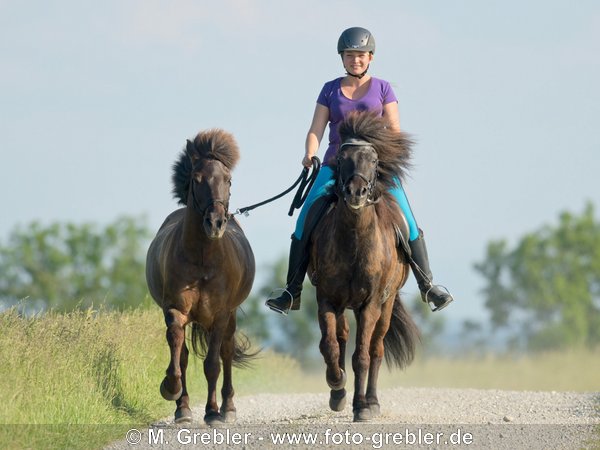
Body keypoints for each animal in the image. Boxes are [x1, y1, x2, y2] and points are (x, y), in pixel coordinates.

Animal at [148, 129, 258, 426]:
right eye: (197, 179)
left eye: (228, 180)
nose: (215, 223)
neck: (202, 259)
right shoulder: (175, 311)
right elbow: (179, 355)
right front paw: (171, 390)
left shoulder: (219, 316)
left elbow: (212, 364)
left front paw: (212, 412)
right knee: (185, 355)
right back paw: (183, 408)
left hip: (229, 318)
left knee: (226, 353)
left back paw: (228, 408)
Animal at [308, 111, 420, 422]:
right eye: (343, 158)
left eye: (373, 159)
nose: (356, 192)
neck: (355, 239)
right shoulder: (327, 299)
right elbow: (330, 345)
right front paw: (337, 385)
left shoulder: (370, 303)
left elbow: (362, 356)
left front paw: (362, 407)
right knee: (342, 337)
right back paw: (339, 392)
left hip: (385, 304)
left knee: (376, 349)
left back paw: (371, 400)